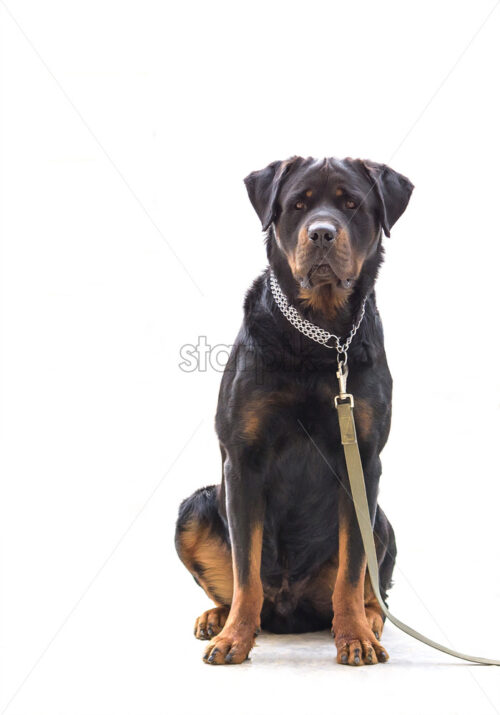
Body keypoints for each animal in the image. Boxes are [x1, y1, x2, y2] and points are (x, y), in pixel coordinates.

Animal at [176, 155, 414, 664]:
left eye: (351, 204)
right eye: (298, 205)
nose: (321, 233)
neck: (318, 336)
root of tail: (291, 611)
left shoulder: (363, 459)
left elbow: (352, 567)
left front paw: (355, 636)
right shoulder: (243, 458)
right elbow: (245, 568)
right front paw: (234, 638)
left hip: (381, 518)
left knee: (370, 586)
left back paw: (370, 622)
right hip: (196, 505)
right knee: (236, 585)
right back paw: (217, 619)